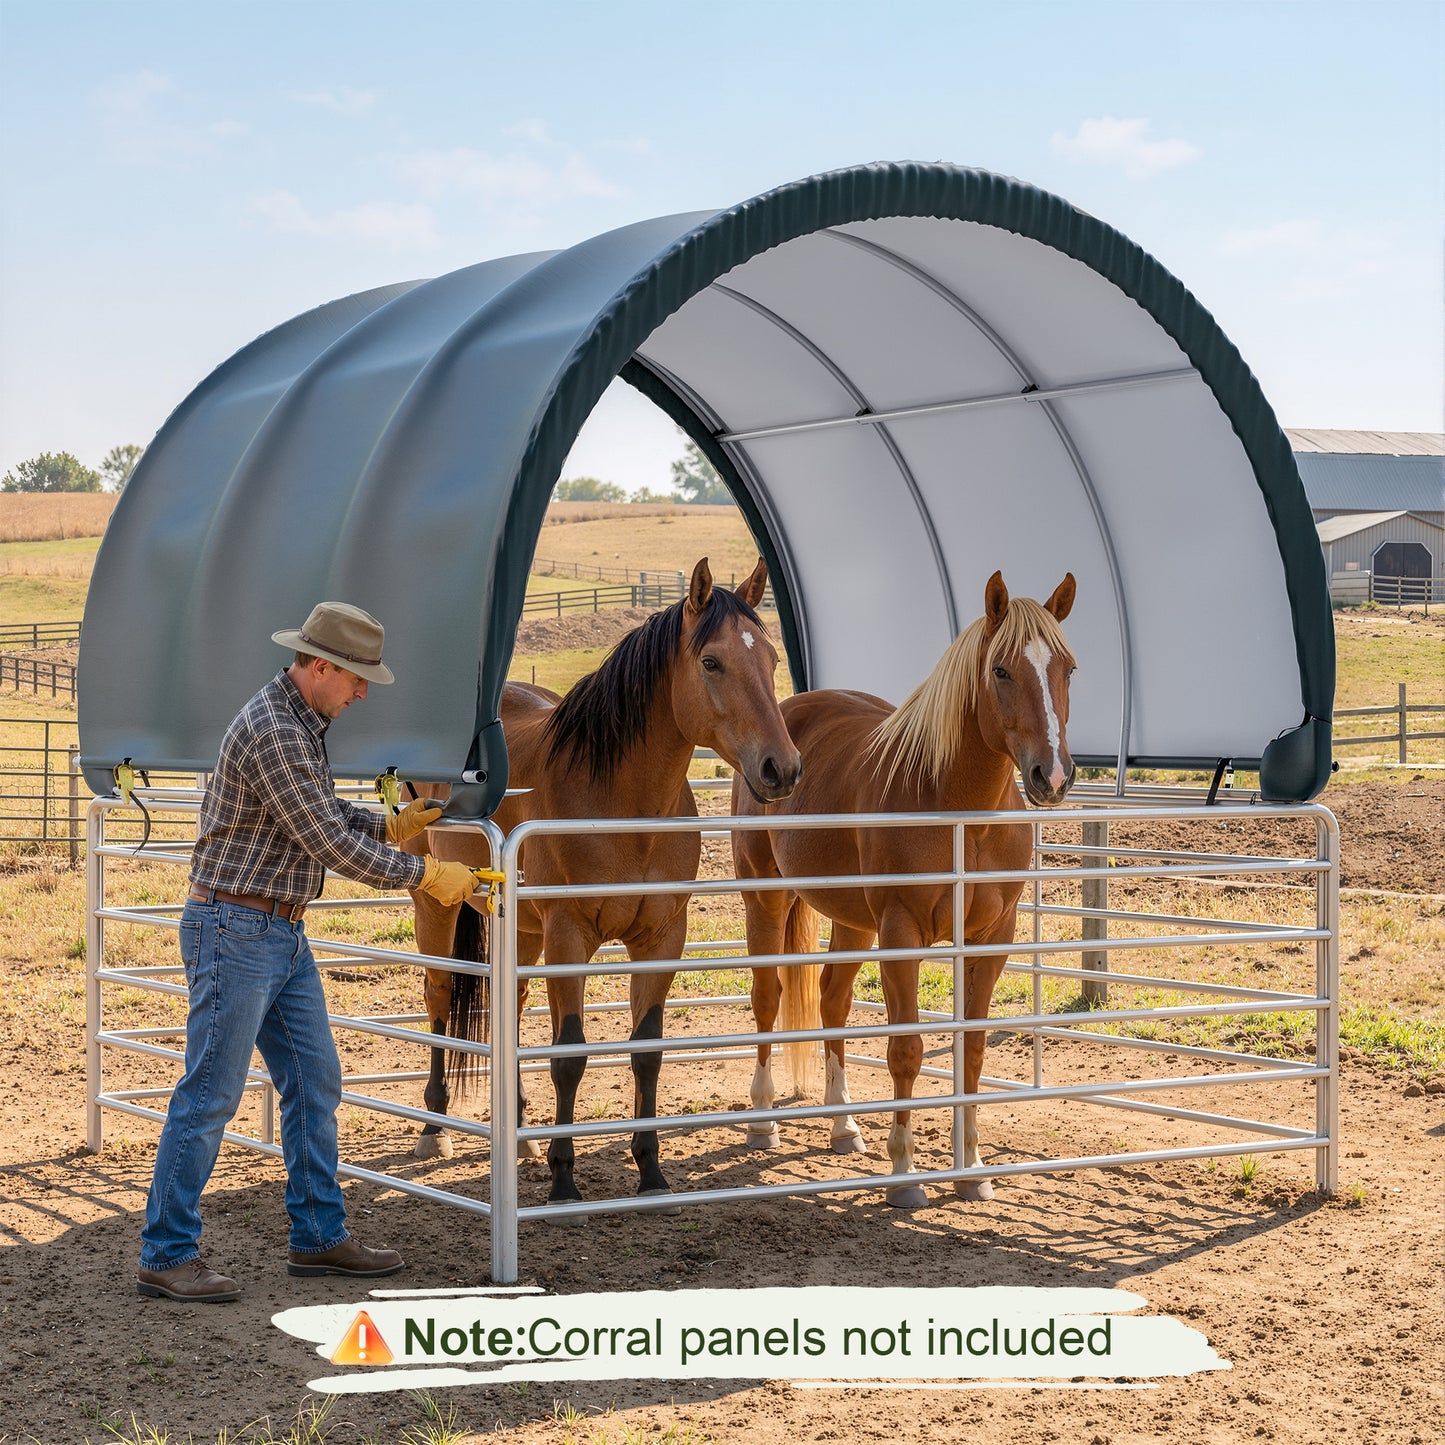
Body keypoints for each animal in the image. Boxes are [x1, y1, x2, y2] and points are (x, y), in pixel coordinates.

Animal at [406, 556, 801, 1211]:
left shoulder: (660, 939)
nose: (783, 768)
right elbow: (569, 1056)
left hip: (522, 929)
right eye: (711, 661)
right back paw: (435, 1129)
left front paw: (651, 1170)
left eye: (771, 659)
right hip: (434, 904)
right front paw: (565, 1181)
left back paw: (517, 1130)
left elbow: (647, 1052)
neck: (617, 803)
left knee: (510, 1004)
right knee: (439, 995)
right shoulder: (570, 937)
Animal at [731, 570, 1077, 1208]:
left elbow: (971, 1048)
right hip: (765, 895)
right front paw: (905, 1175)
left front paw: (972, 1169)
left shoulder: (990, 939)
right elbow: (907, 1049)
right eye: (1001, 670)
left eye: (1068, 668)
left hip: (851, 920)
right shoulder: (902, 932)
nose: (1053, 776)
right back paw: (762, 1121)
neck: (958, 810)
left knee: (831, 1000)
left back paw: (843, 1126)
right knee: (768, 997)